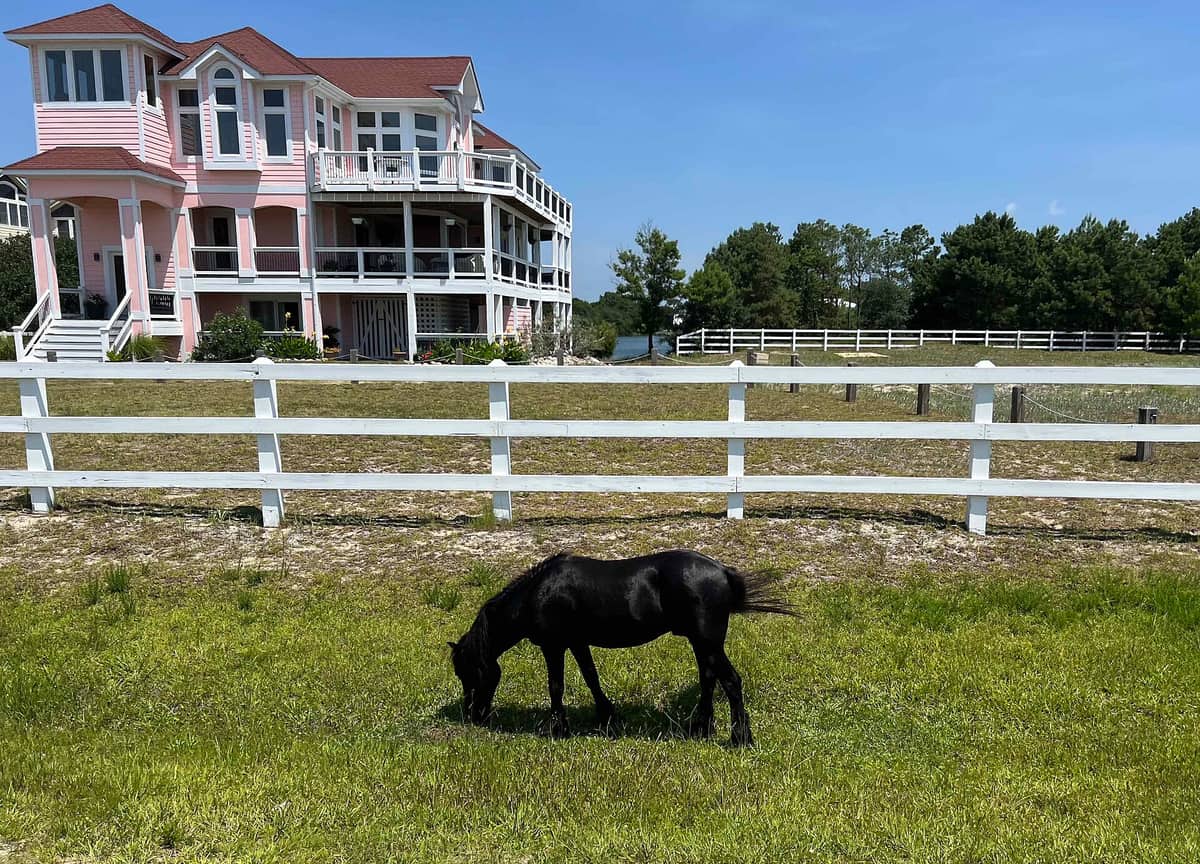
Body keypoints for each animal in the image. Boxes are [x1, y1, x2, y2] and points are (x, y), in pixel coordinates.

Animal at [448, 550, 795, 747]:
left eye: (468, 673)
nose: (473, 714)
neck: (539, 591)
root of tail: (722, 571)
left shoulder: (554, 646)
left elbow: (556, 686)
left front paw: (558, 729)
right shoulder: (577, 642)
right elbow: (591, 677)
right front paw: (606, 717)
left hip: (707, 641)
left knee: (731, 682)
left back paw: (740, 739)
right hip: (700, 642)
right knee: (709, 680)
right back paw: (699, 728)